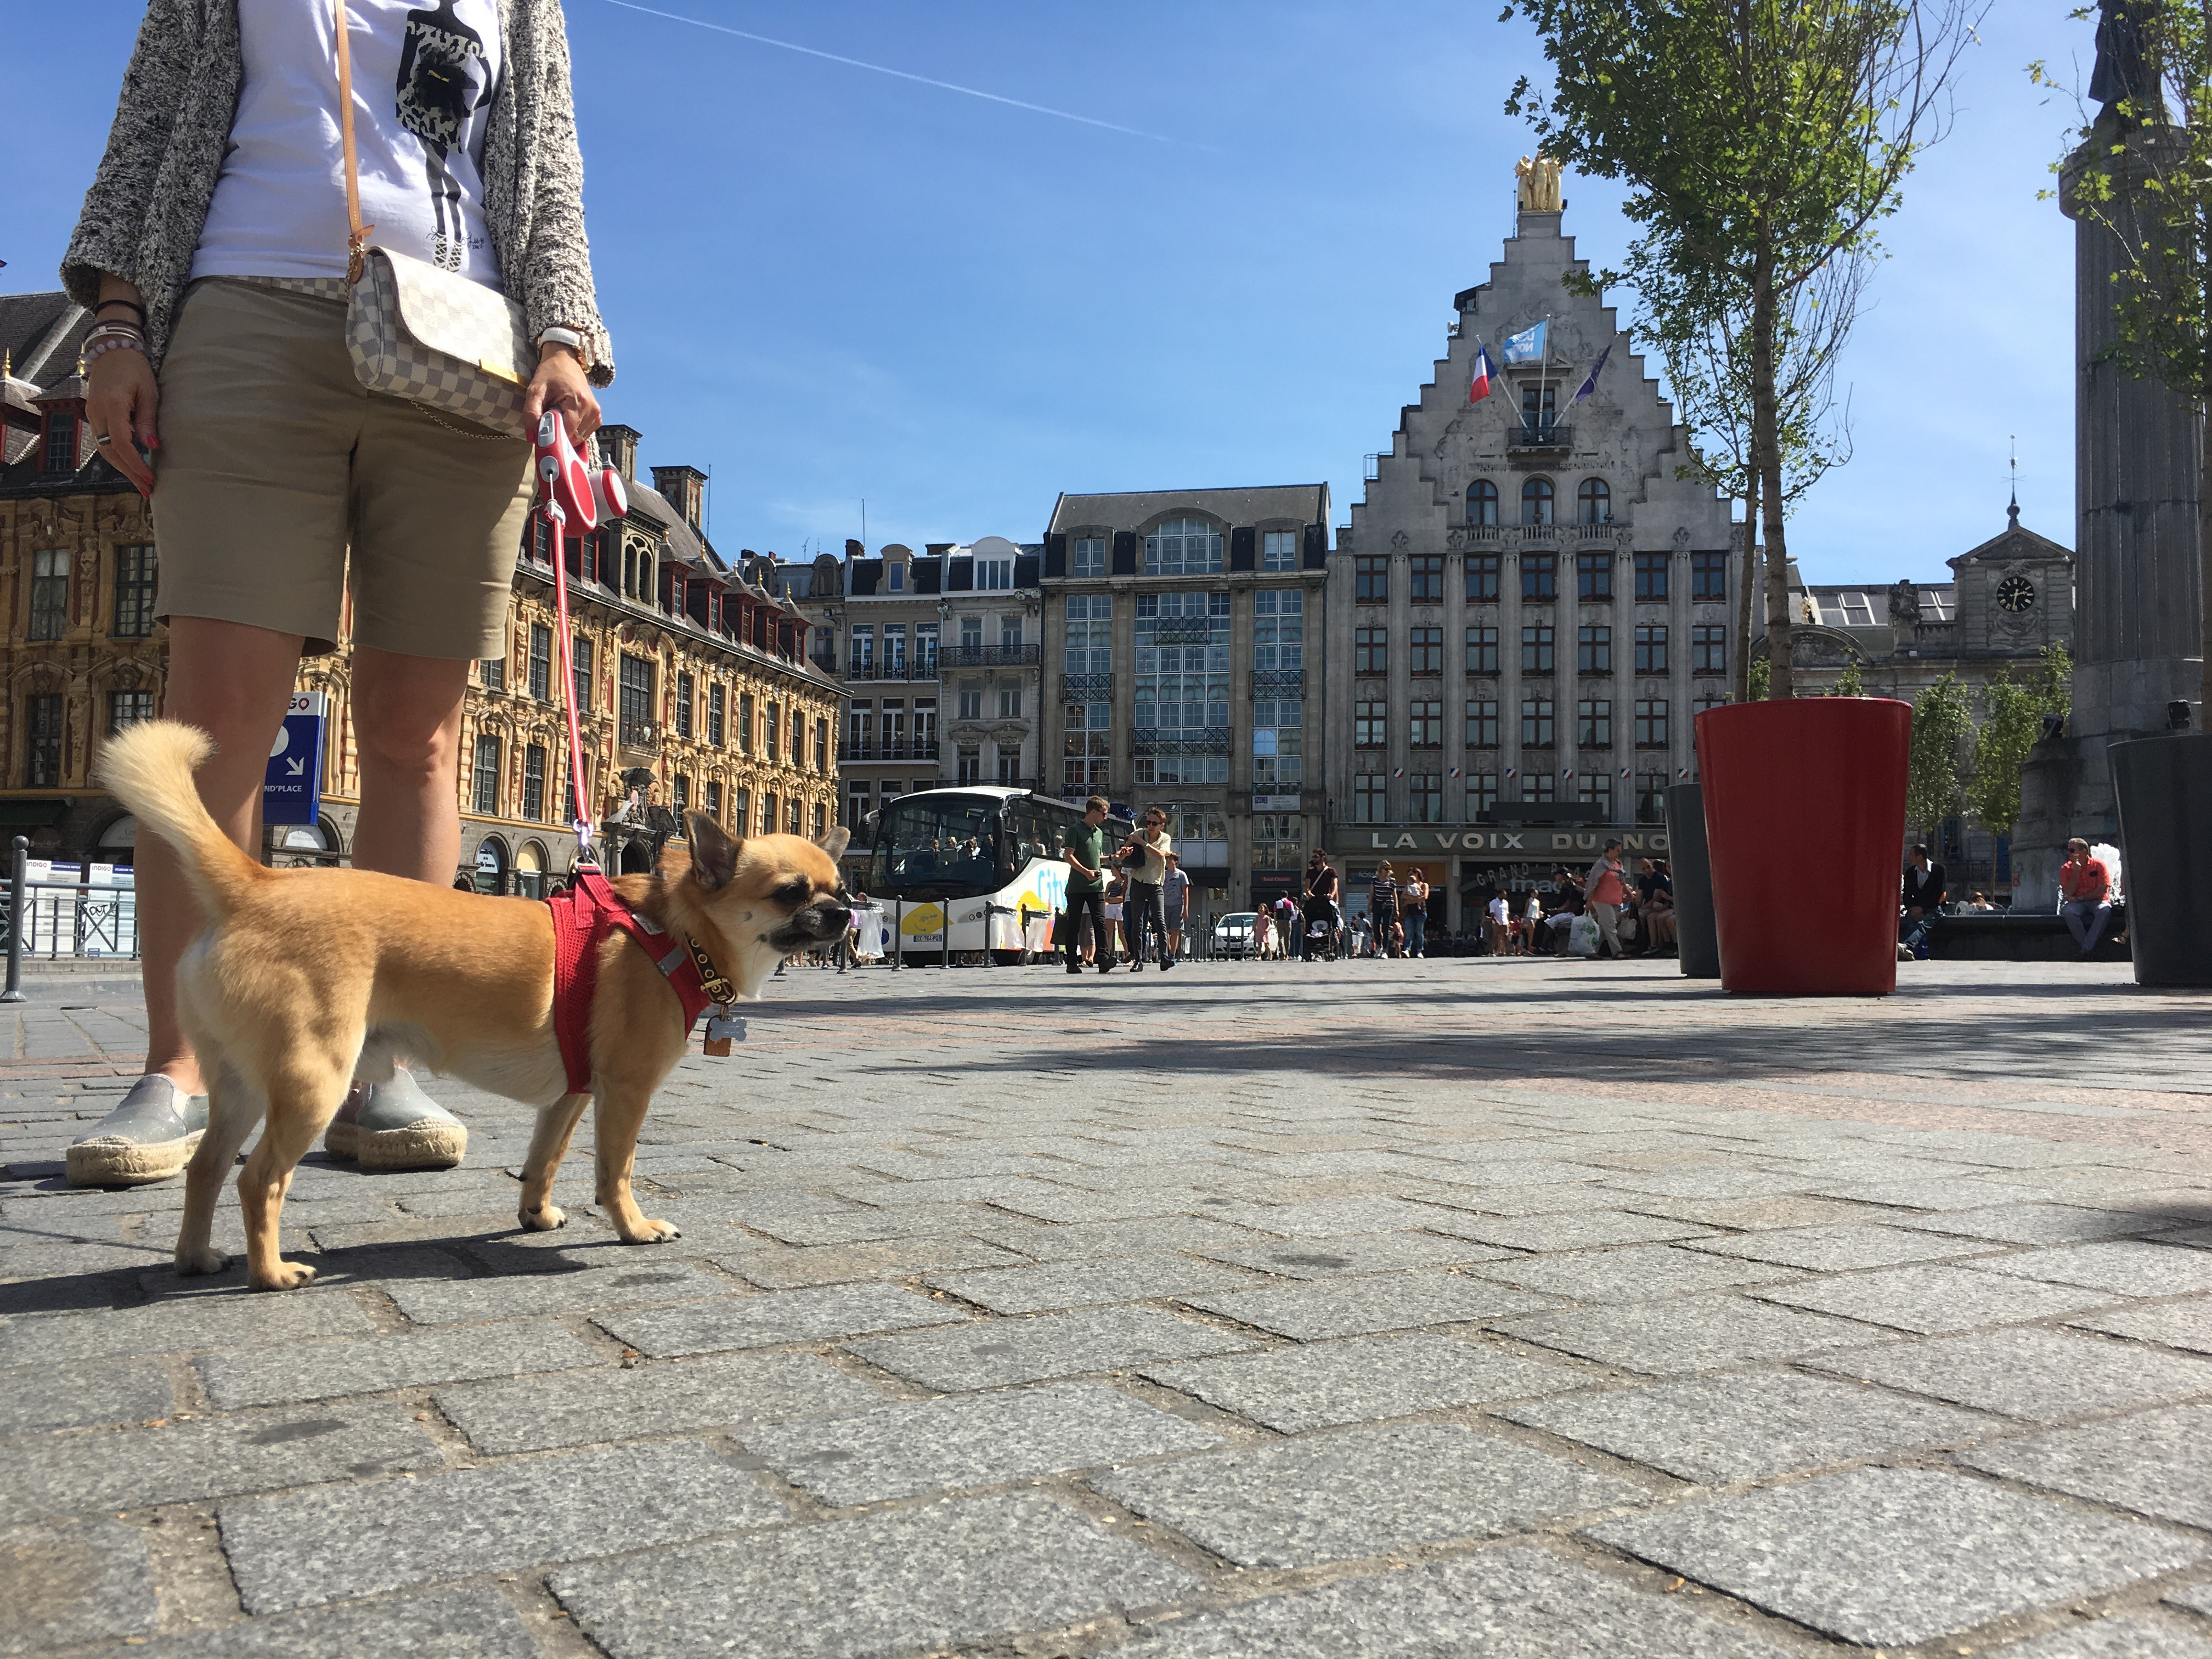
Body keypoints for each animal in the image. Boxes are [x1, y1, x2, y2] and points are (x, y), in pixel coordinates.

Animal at [99, 720, 851, 1291]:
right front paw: (633, 1228)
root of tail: (256, 885)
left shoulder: (573, 1094)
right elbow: (616, 1169)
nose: (845, 912)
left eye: (839, 886)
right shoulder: (626, 1091)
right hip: (312, 1082)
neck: (671, 927)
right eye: (790, 892)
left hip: (239, 1084)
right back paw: (272, 1273)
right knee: (258, 1181)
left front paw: (536, 1215)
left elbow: (545, 1158)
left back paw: (196, 1257)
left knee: (206, 1168)